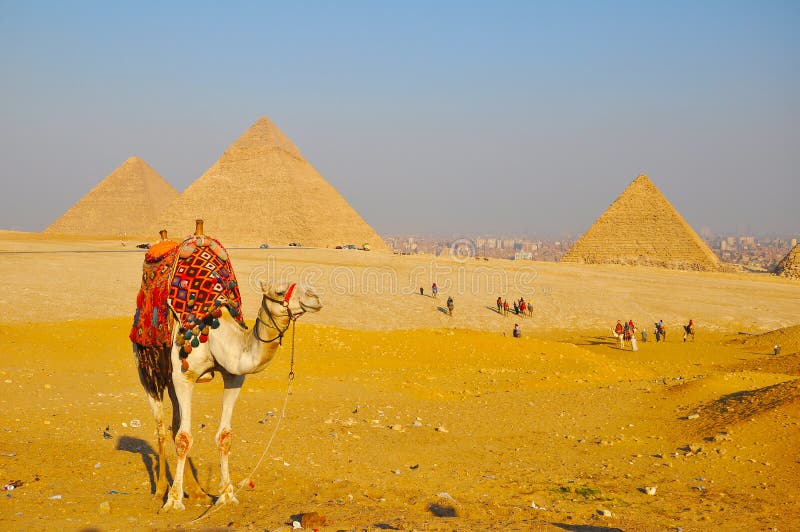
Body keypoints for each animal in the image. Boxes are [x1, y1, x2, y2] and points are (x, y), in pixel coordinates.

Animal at [132, 225, 321, 511]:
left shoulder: (234, 377)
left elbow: (224, 436)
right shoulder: (184, 376)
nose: (315, 297)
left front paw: (227, 494)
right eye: (279, 292)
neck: (215, 328)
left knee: (174, 424)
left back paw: (196, 492)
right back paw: (162, 489)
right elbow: (184, 438)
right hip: (148, 366)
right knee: (162, 427)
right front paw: (173, 500)